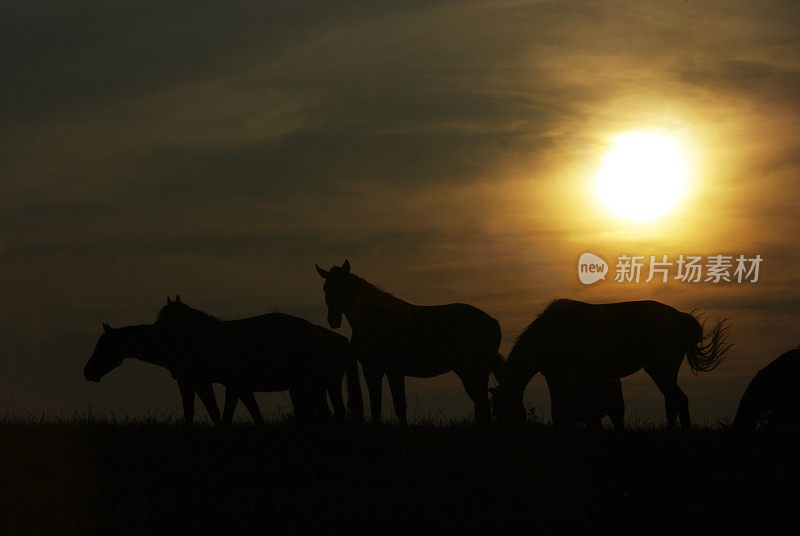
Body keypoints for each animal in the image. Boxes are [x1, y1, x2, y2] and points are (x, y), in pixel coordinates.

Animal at [154, 296, 362, 426]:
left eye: (167, 320)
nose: (155, 337)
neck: (214, 340)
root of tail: (318, 333)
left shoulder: (234, 385)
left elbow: (226, 414)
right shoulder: (238, 387)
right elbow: (248, 412)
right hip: (311, 384)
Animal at [316, 258, 504, 426]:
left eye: (342, 286)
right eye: (326, 288)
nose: (333, 320)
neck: (376, 322)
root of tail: (492, 322)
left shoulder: (393, 370)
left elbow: (400, 406)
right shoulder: (371, 369)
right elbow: (376, 405)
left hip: (475, 370)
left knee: (482, 404)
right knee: (480, 404)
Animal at [488, 300, 732, 430]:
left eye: (503, 412)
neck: (549, 333)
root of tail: (682, 319)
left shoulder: (561, 378)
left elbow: (561, 411)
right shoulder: (559, 378)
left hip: (661, 369)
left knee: (677, 400)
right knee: (672, 401)